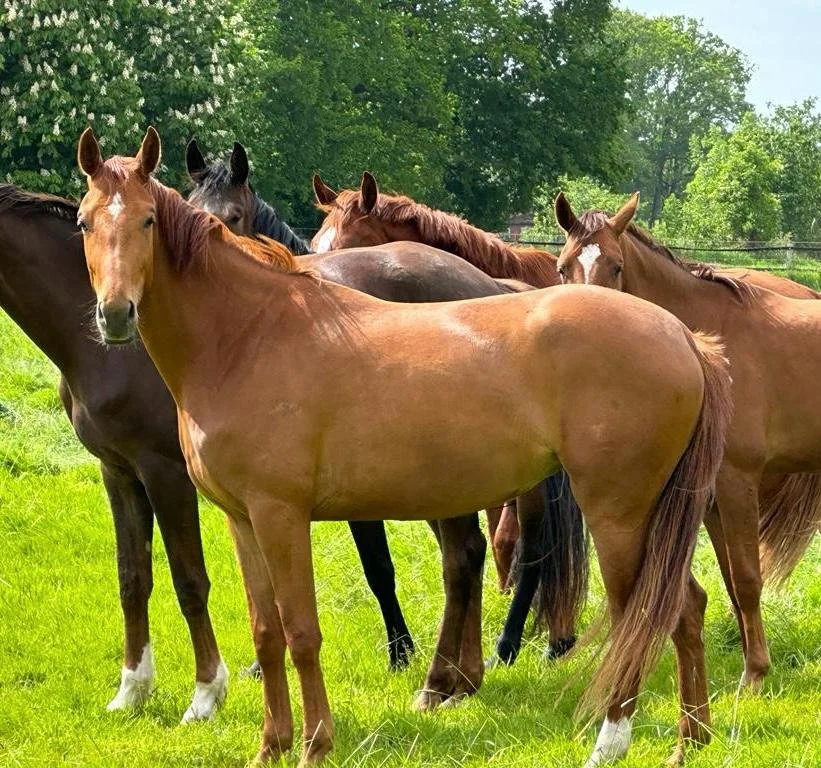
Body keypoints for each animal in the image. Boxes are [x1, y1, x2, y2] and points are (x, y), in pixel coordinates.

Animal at [185, 143, 587, 664]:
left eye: (233, 215)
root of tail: (493, 285)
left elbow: (377, 565)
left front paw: (401, 651)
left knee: (529, 547)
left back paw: (511, 643)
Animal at [554, 191, 821, 690]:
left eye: (616, 266)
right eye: (563, 267)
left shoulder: (737, 482)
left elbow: (747, 579)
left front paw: (754, 675)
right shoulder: (712, 494)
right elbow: (733, 582)